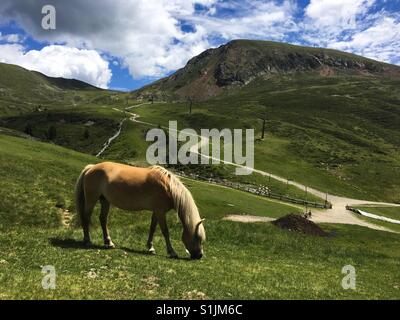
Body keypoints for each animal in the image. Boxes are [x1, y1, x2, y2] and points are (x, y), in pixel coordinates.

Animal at [75, 162, 206, 260]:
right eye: (197, 237)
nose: (199, 255)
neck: (169, 188)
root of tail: (91, 167)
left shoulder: (156, 211)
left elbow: (152, 228)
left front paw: (150, 247)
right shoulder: (160, 212)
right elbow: (165, 231)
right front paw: (171, 252)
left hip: (105, 200)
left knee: (103, 219)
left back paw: (109, 243)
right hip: (92, 199)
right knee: (86, 217)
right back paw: (87, 241)